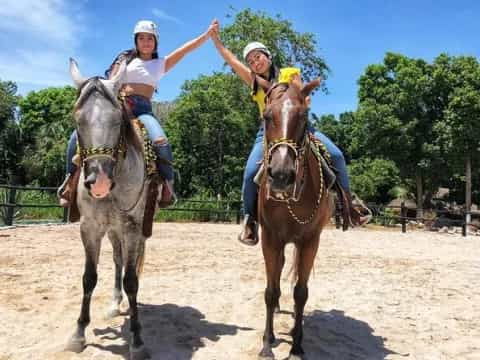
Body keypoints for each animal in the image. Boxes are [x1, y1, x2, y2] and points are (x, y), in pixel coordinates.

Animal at [65, 57, 154, 358]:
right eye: (77, 119)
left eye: (117, 120)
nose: (100, 181)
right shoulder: (89, 227)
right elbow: (89, 277)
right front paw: (78, 332)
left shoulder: (132, 227)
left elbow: (132, 280)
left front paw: (137, 338)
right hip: (112, 231)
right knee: (117, 259)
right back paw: (115, 304)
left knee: (129, 265)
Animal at [256, 77, 332, 358]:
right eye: (267, 116)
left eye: (304, 116)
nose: (281, 174)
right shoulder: (270, 238)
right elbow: (270, 290)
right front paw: (267, 343)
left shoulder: (310, 240)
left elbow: (301, 293)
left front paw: (297, 345)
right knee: (277, 273)